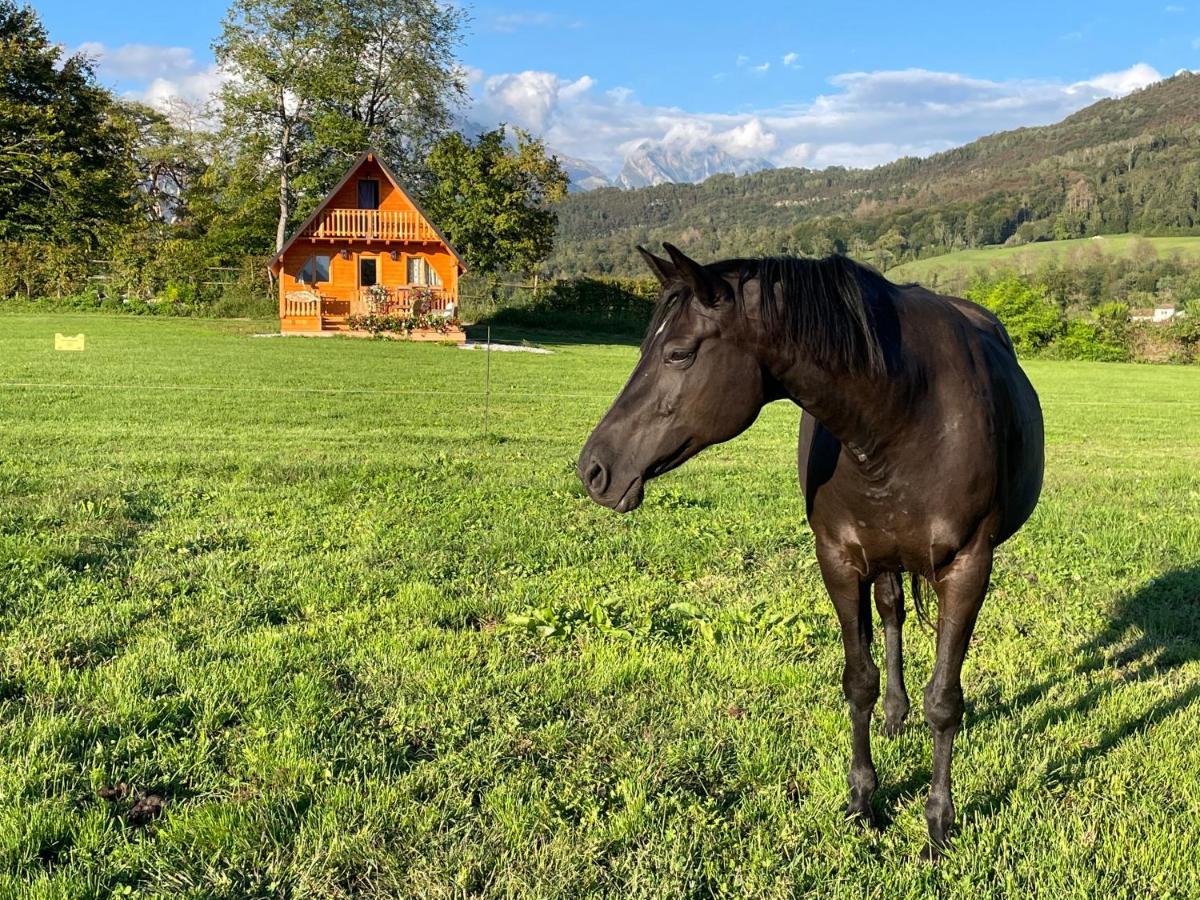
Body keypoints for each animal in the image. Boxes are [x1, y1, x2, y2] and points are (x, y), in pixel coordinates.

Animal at [578, 241, 1041, 859]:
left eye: (678, 354)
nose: (594, 470)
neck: (904, 413)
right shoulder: (839, 561)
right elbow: (859, 681)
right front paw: (863, 801)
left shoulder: (968, 568)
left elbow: (944, 702)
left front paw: (938, 824)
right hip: (881, 560)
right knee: (892, 614)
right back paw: (895, 717)